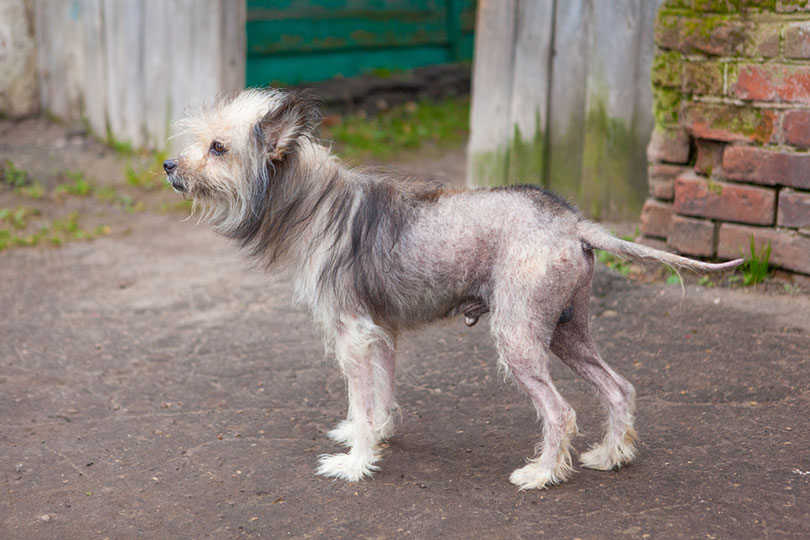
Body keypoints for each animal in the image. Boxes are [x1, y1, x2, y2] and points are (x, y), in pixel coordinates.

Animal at [163, 88, 740, 490]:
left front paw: (356, 463)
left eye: (218, 148)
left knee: (561, 412)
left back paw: (543, 474)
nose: (168, 165)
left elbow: (361, 399)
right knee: (619, 388)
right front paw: (373, 436)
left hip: (518, 338)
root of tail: (573, 222)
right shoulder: (381, 334)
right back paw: (610, 455)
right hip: (564, 331)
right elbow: (377, 397)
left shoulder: (354, 335)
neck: (314, 202)